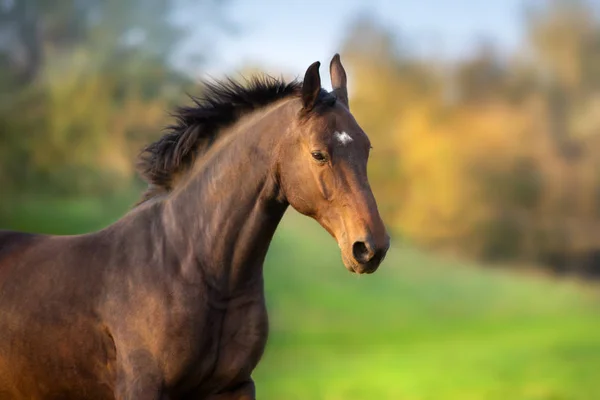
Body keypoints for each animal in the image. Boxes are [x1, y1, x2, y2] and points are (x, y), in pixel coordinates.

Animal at [0, 54, 390, 400]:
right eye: (318, 154)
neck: (189, 265)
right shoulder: (143, 388)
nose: (371, 247)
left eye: (367, 149)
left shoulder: (234, 386)